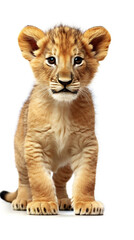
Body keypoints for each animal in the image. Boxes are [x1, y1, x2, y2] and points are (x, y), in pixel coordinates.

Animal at [0, 24, 111, 216]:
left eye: (78, 60)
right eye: (51, 60)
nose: (64, 81)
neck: (62, 107)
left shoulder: (87, 144)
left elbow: (87, 179)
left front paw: (87, 203)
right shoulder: (34, 143)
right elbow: (39, 179)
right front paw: (42, 204)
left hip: (65, 165)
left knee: (59, 179)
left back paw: (63, 201)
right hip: (20, 153)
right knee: (24, 179)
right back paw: (23, 200)